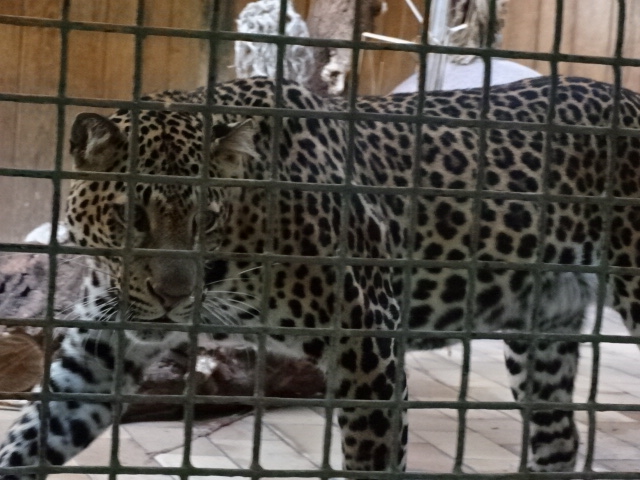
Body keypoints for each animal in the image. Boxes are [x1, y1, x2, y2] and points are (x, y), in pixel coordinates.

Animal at [2, 75, 640, 479]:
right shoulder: (97, 348)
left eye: (206, 220)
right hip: (543, 335)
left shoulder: (369, 348)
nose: (172, 297)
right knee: (557, 441)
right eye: (132, 217)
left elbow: (373, 460)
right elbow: (34, 431)